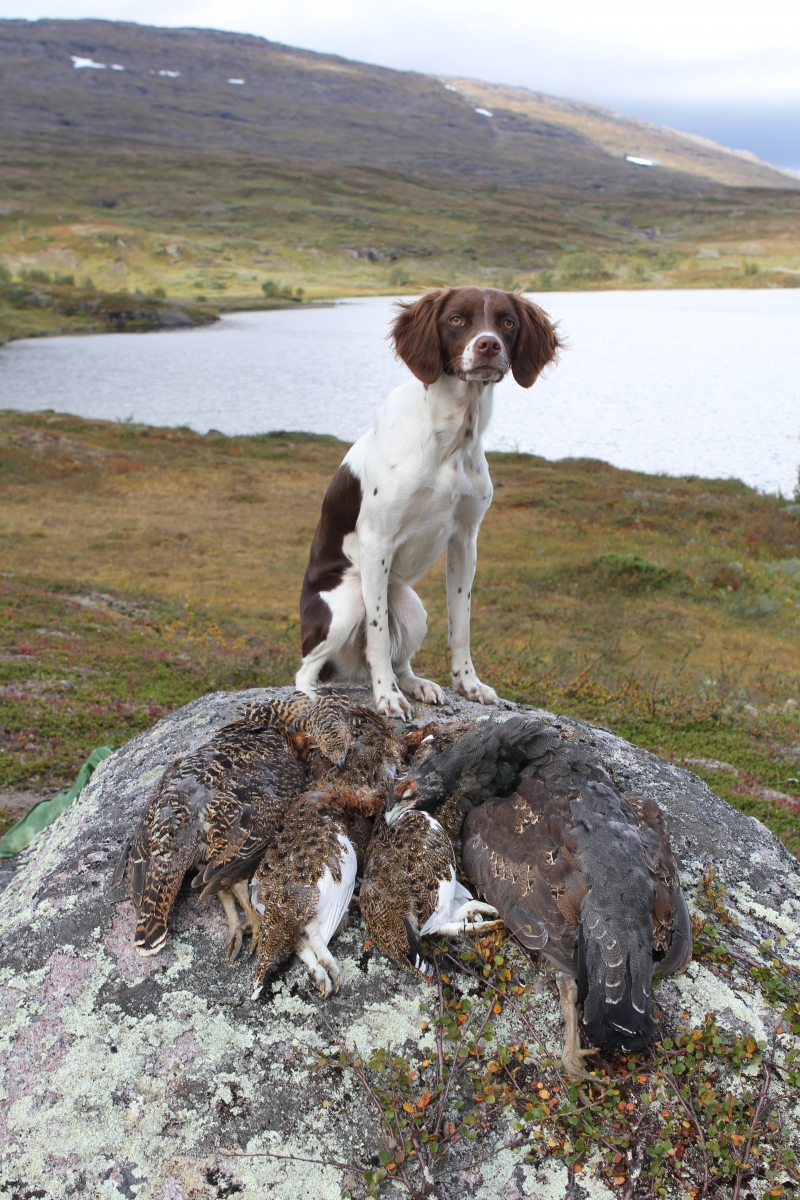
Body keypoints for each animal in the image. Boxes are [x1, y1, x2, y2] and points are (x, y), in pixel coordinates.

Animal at [296, 286, 560, 718]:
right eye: (456, 319)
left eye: (507, 322)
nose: (488, 345)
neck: (450, 437)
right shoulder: (377, 540)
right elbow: (377, 638)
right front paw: (385, 696)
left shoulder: (465, 540)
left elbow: (461, 625)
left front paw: (468, 684)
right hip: (348, 602)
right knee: (308, 670)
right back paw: (320, 697)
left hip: (411, 607)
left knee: (400, 658)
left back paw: (417, 685)